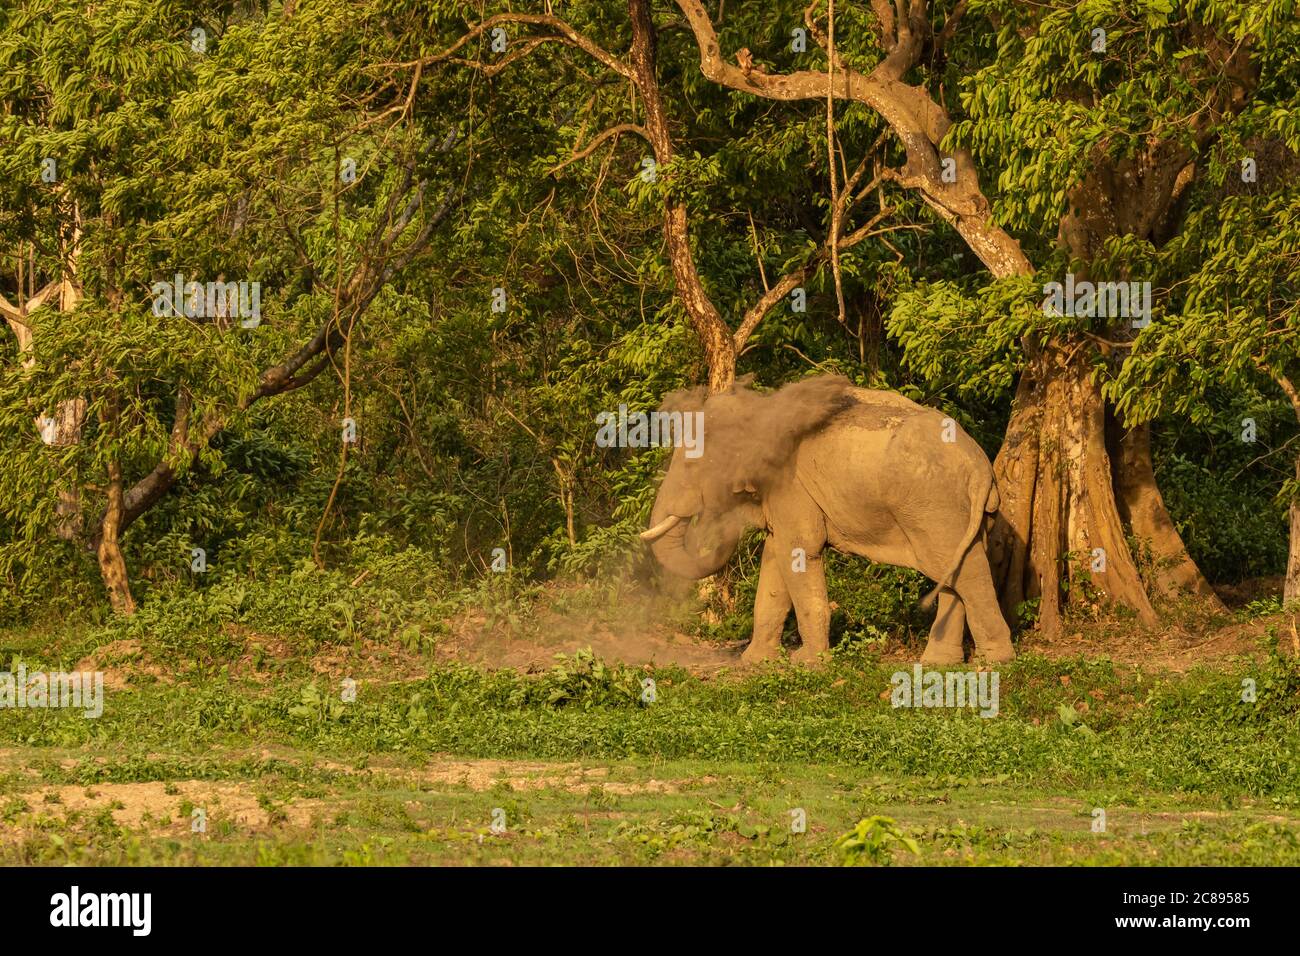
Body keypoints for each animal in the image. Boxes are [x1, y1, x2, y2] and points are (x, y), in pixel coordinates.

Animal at [639, 374, 1013, 665]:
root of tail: (979, 464)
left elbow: (800, 551)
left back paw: (995, 661)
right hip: (964, 512)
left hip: (934, 506)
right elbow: (776, 558)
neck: (763, 409)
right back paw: (939, 663)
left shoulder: (792, 488)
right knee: (953, 568)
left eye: (691, 464)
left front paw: (808, 663)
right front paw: (756, 662)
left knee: (965, 571)